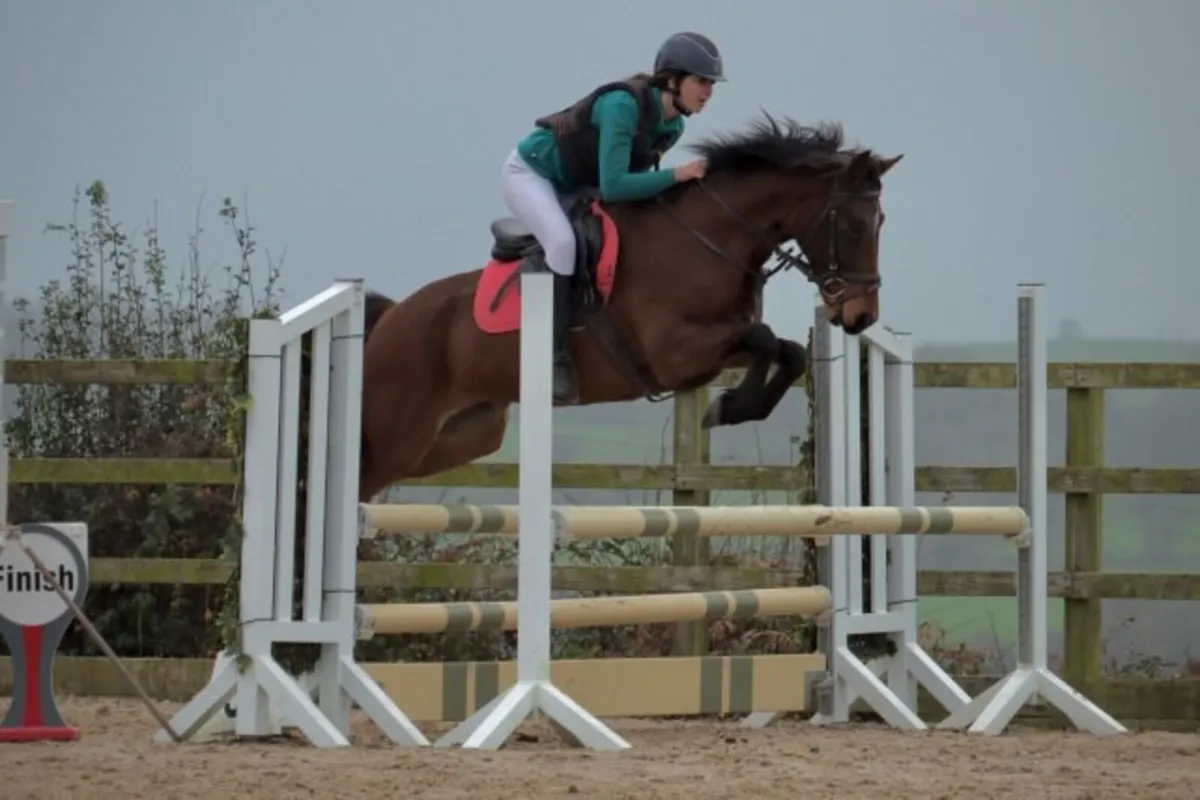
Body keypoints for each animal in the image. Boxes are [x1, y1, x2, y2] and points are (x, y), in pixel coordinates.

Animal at [357, 114, 903, 501]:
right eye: (854, 226)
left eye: (881, 224)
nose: (861, 317)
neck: (708, 239)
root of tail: (392, 318)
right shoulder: (675, 354)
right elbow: (767, 340)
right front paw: (726, 408)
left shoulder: (714, 351)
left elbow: (788, 351)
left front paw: (729, 408)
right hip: (399, 432)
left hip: (460, 436)